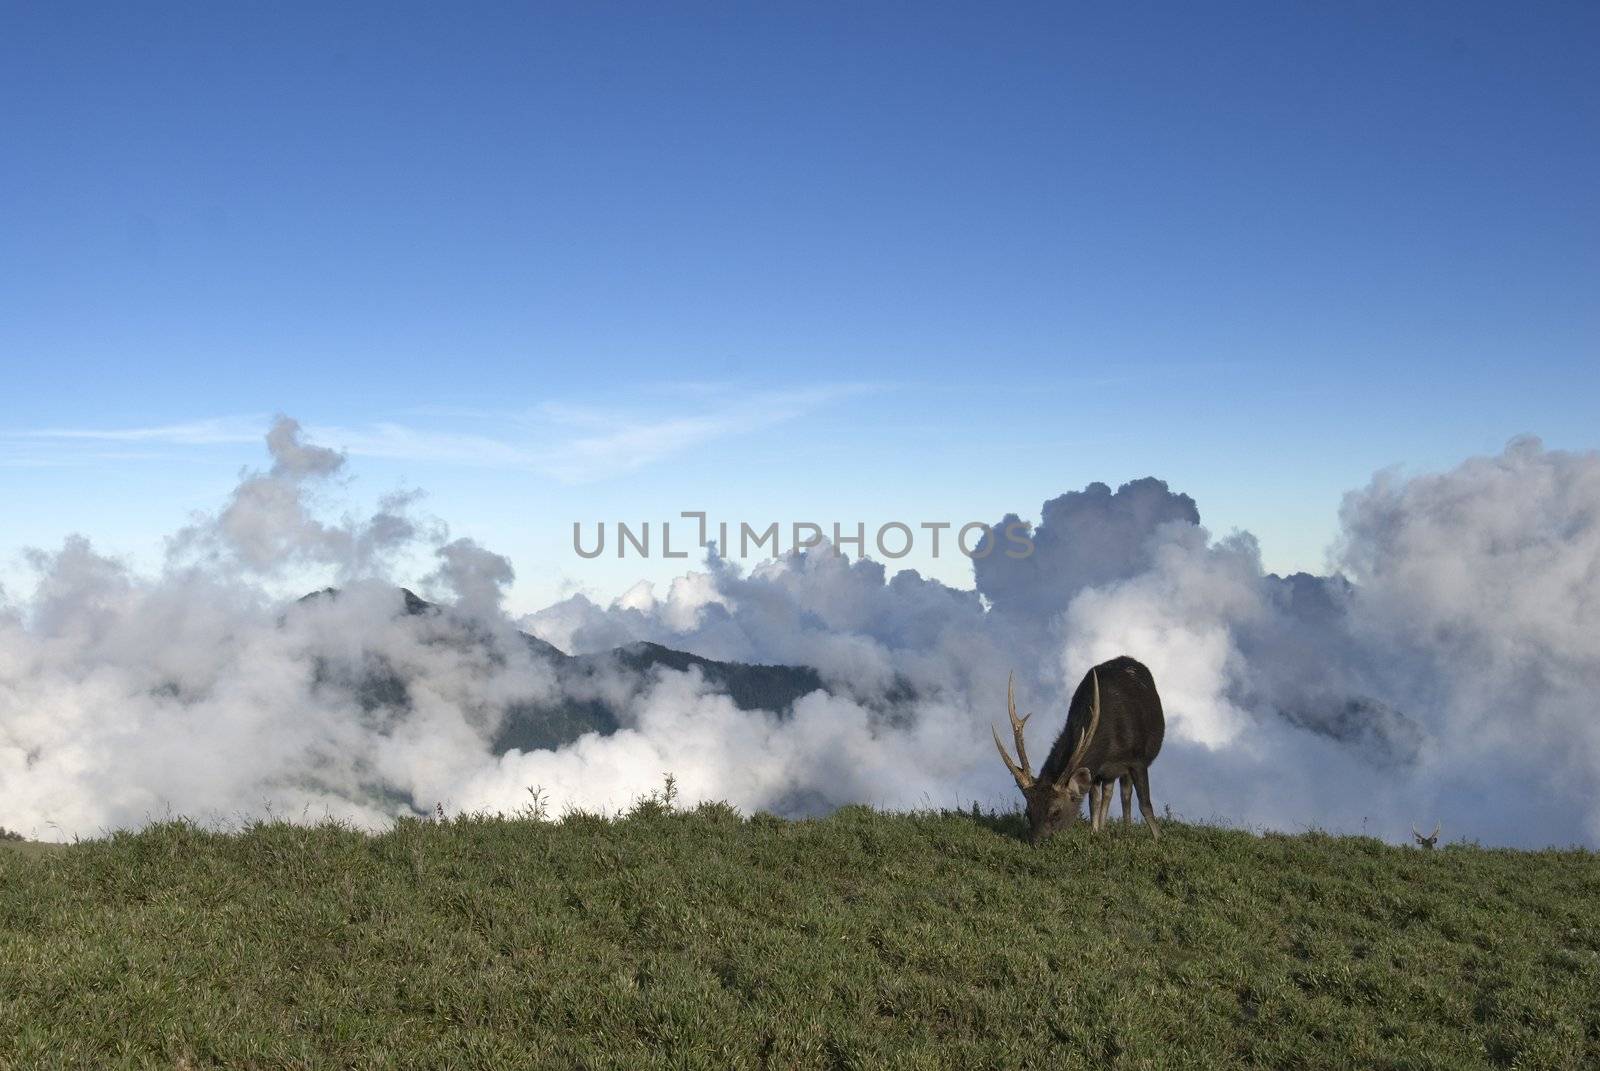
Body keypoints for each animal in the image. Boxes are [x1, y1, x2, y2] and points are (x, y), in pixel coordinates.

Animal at [985, 653, 1164, 845]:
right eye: (1028, 812)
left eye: (1056, 811)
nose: (1035, 842)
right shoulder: (1097, 770)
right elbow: (1094, 803)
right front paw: (1095, 833)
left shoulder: (1138, 760)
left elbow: (1145, 804)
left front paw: (1158, 838)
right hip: (1109, 773)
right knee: (1108, 793)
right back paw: (1108, 828)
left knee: (1126, 794)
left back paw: (1128, 830)